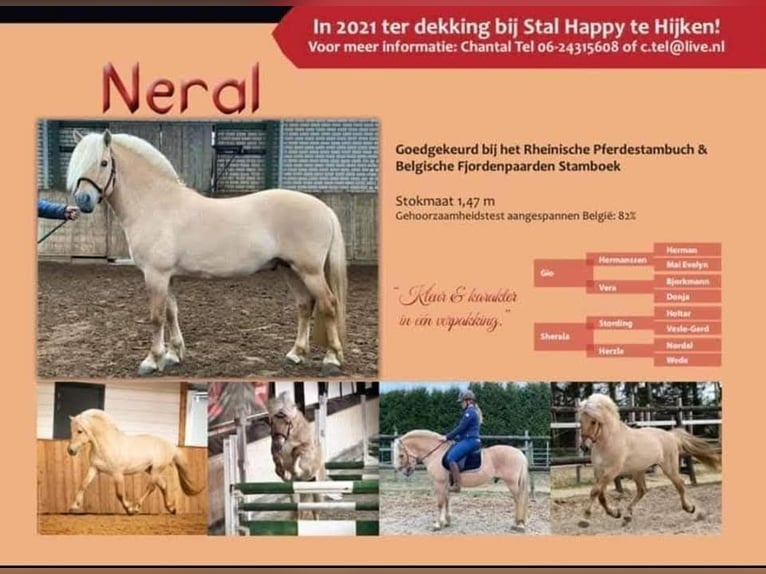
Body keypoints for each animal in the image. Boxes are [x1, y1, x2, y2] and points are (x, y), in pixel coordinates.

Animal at [66, 129, 348, 377]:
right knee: (305, 305)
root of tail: (323, 208)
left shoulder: (155, 275)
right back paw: (296, 354)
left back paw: (332, 359)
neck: (155, 204)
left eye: (103, 162)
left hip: (309, 271)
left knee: (328, 304)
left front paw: (152, 360)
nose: (83, 201)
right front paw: (173, 355)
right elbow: (172, 312)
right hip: (290, 269)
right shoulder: (167, 276)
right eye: (78, 163)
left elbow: (157, 317)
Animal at [66, 409, 204, 515]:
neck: (106, 444)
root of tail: (170, 445)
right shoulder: (94, 468)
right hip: (150, 469)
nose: (70, 450)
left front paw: (128, 508)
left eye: (80, 431)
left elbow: (119, 493)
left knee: (151, 487)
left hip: (156, 469)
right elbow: (83, 484)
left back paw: (136, 507)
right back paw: (171, 509)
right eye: (71, 430)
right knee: (163, 485)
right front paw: (74, 506)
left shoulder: (117, 474)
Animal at [266, 392, 328, 520]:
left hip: (317, 490)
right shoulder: (276, 452)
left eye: (287, 422)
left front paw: (295, 471)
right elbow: (277, 460)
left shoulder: (306, 452)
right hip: (297, 493)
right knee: (298, 511)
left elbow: (296, 452)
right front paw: (283, 473)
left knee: (315, 511)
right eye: (272, 422)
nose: (277, 444)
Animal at [392, 429, 530, 532]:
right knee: (517, 501)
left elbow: (440, 503)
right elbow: (447, 501)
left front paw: (437, 524)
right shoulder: (445, 485)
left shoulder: (439, 483)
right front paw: (446, 521)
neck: (436, 454)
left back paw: (519, 524)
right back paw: (517, 523)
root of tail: (519, 453)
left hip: (512, 483)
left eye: (401, 455)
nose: (405, 471)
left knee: (519, 500)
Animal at [576, 393, 721, 528]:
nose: (584, 447)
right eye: (581, 421)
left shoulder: (612, 471)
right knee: (642, 490)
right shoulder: (599, 471)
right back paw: (627, 516)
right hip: (638, 471)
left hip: (668, 467)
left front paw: (584, 519)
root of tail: (671, 435)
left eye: (593, 421)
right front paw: (615, 513)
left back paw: (691, 509)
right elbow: (600, 495)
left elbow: (595, 491)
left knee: (679, 483)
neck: (608, 441)